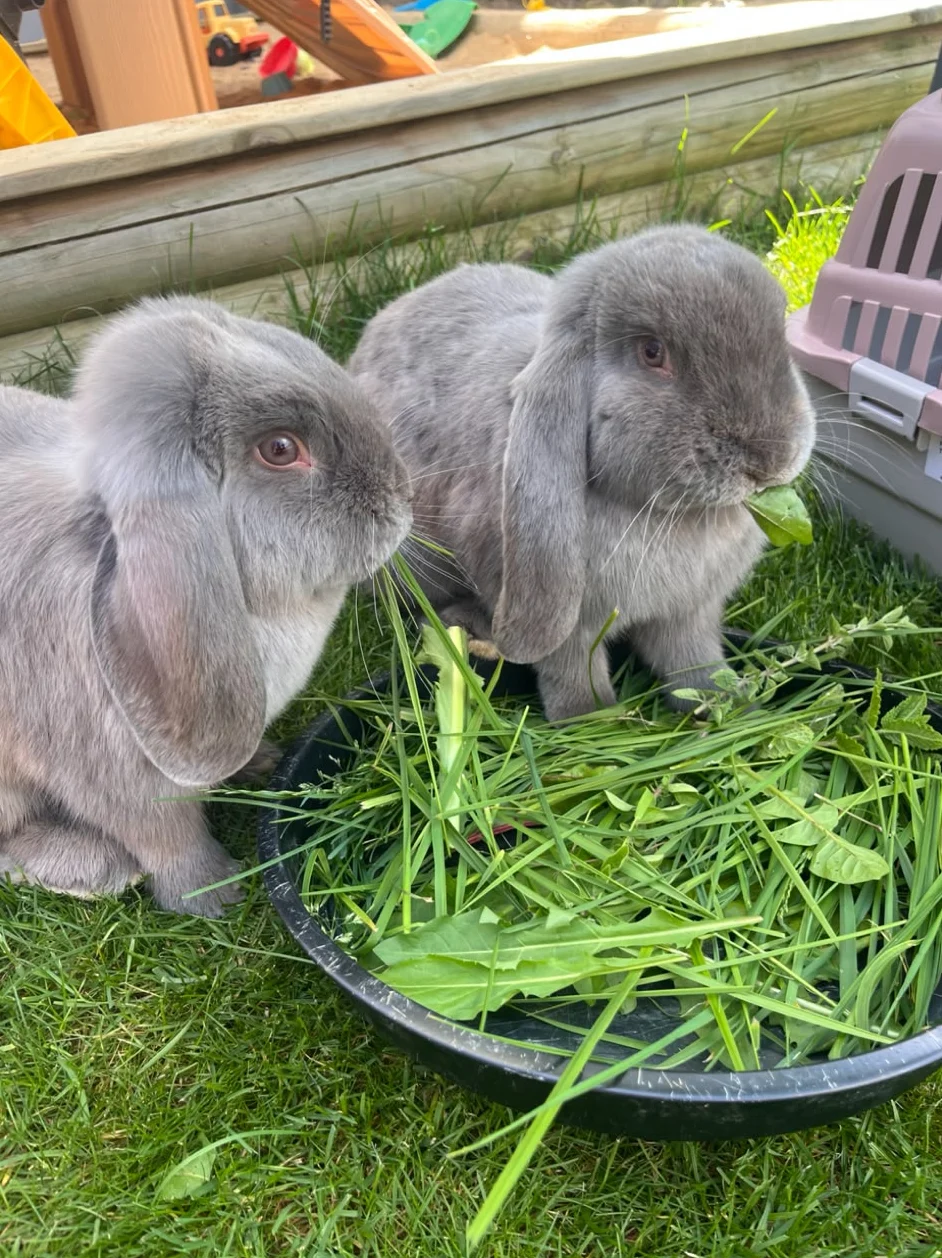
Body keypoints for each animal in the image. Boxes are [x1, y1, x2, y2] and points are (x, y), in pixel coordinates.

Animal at [0, 296, 412, 915]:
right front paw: (214, 895)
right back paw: (91, 870)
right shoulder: (114, 773)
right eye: (280, 449)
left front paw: (263, 761)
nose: (402, 496)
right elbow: (166, 836)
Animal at [348, 224, 815, 721]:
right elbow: (571, 669)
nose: (769, 460)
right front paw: (590, 719)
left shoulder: (688, 612)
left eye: (782, 339)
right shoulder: (567, 621)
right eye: (652, 352)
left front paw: (731, 705)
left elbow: (692, 661)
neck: (668, 515)